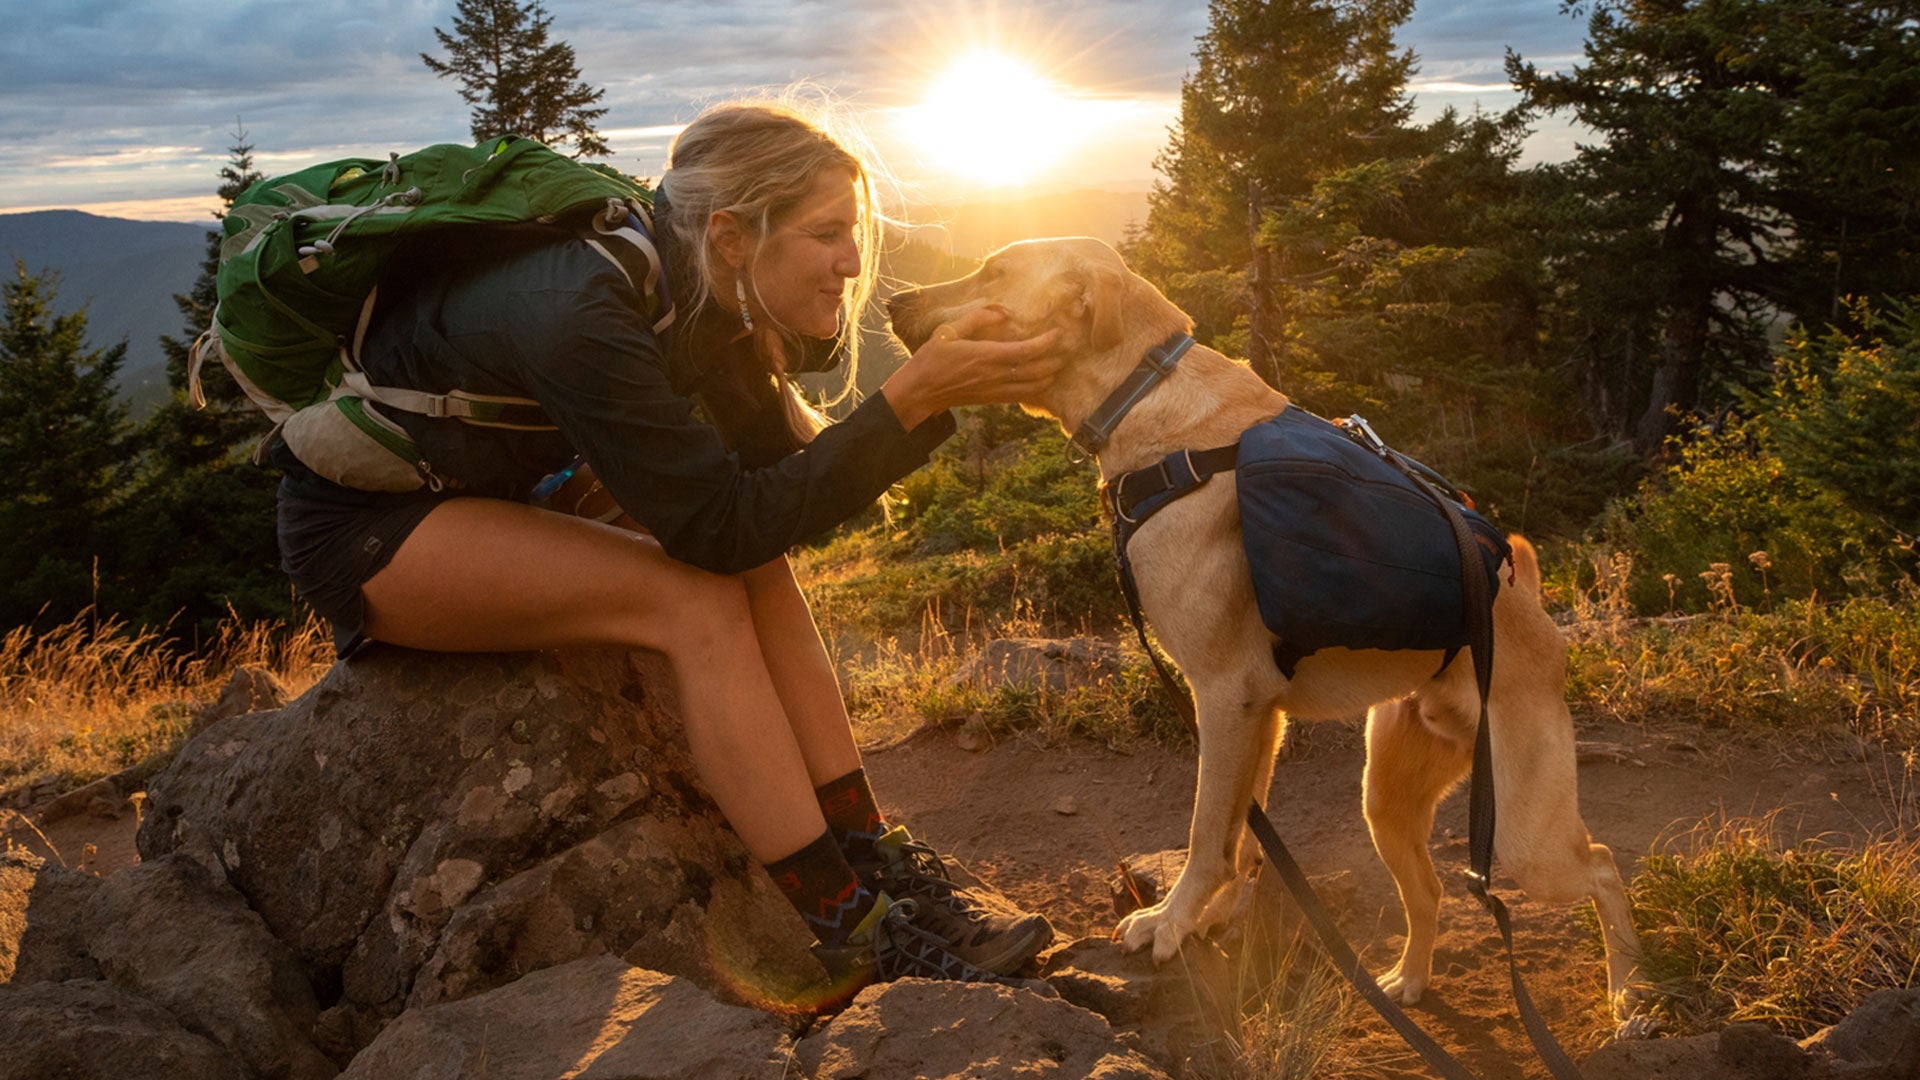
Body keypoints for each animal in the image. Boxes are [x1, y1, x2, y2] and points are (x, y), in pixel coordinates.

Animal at [890, 235, 1643, 1014]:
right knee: (1432, 890)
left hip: (1522, 836)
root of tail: (1532, 602)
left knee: (1604, 867)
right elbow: (1241, 838)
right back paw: (1410, 978)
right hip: (1388, 801)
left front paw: (1171, 922)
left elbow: (1205, 834)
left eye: (993, 271)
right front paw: (1211, 917)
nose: (892, 302)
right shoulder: (1260, 711)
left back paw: (1627, 997)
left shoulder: (1226, 696)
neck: (1148, 398)